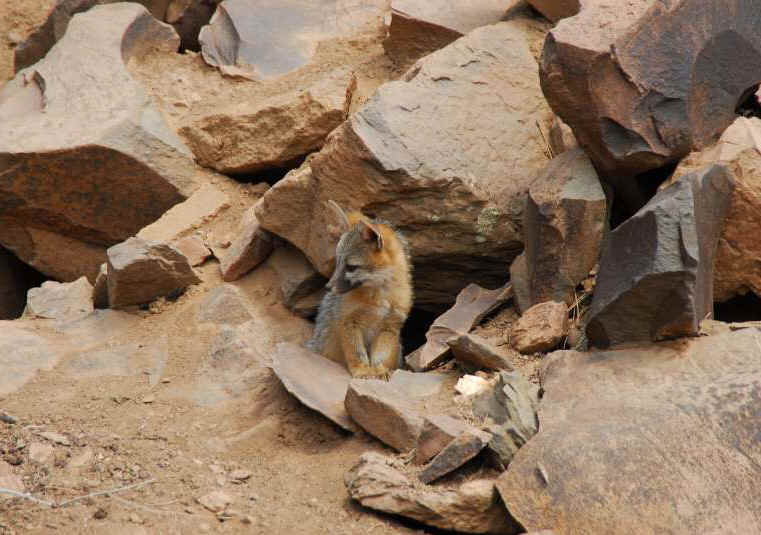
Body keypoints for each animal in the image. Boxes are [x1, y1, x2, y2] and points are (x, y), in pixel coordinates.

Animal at [306, 201, 413, 379]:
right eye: (337, 262)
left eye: (351, 267)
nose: (328, 287)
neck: (379, 298)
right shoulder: (348, 322)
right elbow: (356, 353)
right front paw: (362, 370)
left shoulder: (390, 327)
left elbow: (380, 356)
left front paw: (380, 370)